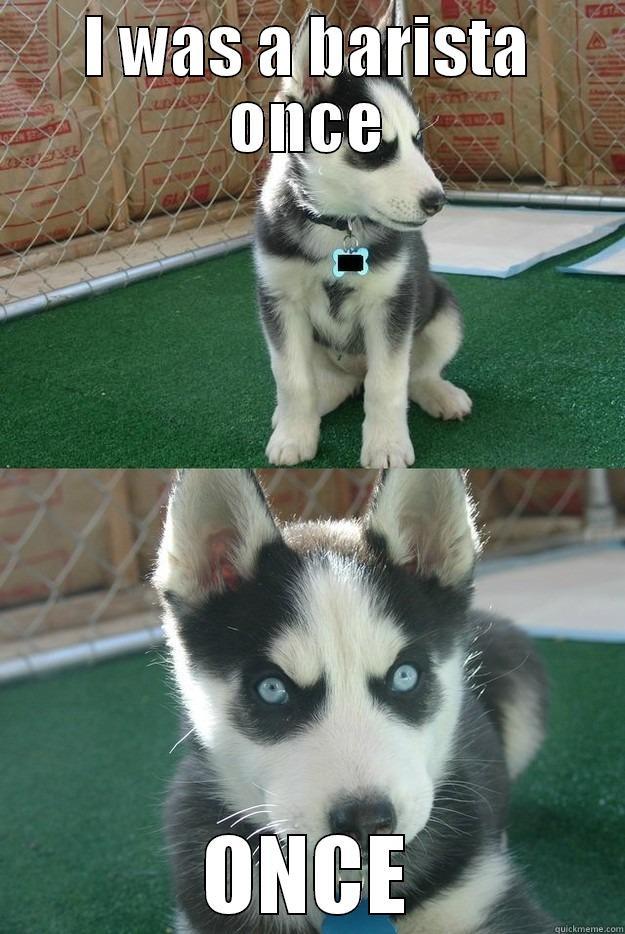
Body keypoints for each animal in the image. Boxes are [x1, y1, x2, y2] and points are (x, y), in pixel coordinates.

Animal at [252, 0, 468, 468]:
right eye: (374, 145)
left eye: (417, 141)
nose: (437, 201)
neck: (338, 225)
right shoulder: (280, 302)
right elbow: (292, 379)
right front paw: (294, 435)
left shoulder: (391, 305)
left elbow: (387, 385)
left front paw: (386, 444)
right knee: (330, 384)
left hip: (443, 310)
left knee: (412, 375)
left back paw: (439, 393)